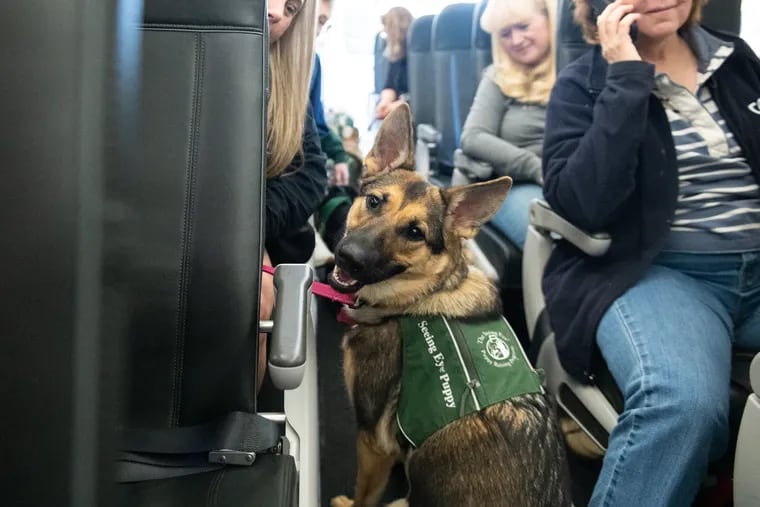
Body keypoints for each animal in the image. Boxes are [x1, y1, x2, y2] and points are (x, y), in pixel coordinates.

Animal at [326, 104, 568, 507]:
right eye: (374, 202)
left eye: (414, 233)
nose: (348, 258)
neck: (420, 297)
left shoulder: (372, 442)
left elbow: (363, 496)